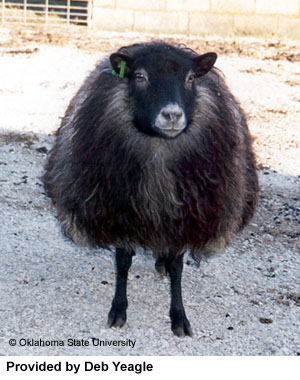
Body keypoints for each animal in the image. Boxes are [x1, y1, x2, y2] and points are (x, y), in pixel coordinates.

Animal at [42, 41, 260, 336]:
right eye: (140, 77)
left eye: (190, 78)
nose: (172, 115)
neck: (159, 148)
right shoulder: (121, 213)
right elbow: (123, 262)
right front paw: (118, 310)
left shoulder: (185, 217)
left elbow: (177, 268)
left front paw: (179, 316)